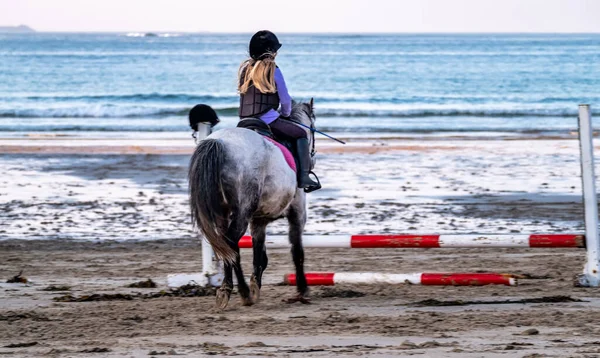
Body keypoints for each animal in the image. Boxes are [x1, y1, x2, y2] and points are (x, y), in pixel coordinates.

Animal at [190, 99, 316, 310]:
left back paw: (231, 290)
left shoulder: (258, 220)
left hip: (222, 214)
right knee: (231, 244)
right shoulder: (298, 213)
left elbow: (260, 255)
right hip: (241, 211)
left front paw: (256, 284)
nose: (313, 159)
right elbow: (297, 250)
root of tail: (219, 143)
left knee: (227, 246)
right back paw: (241, 291)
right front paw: (302, 289)